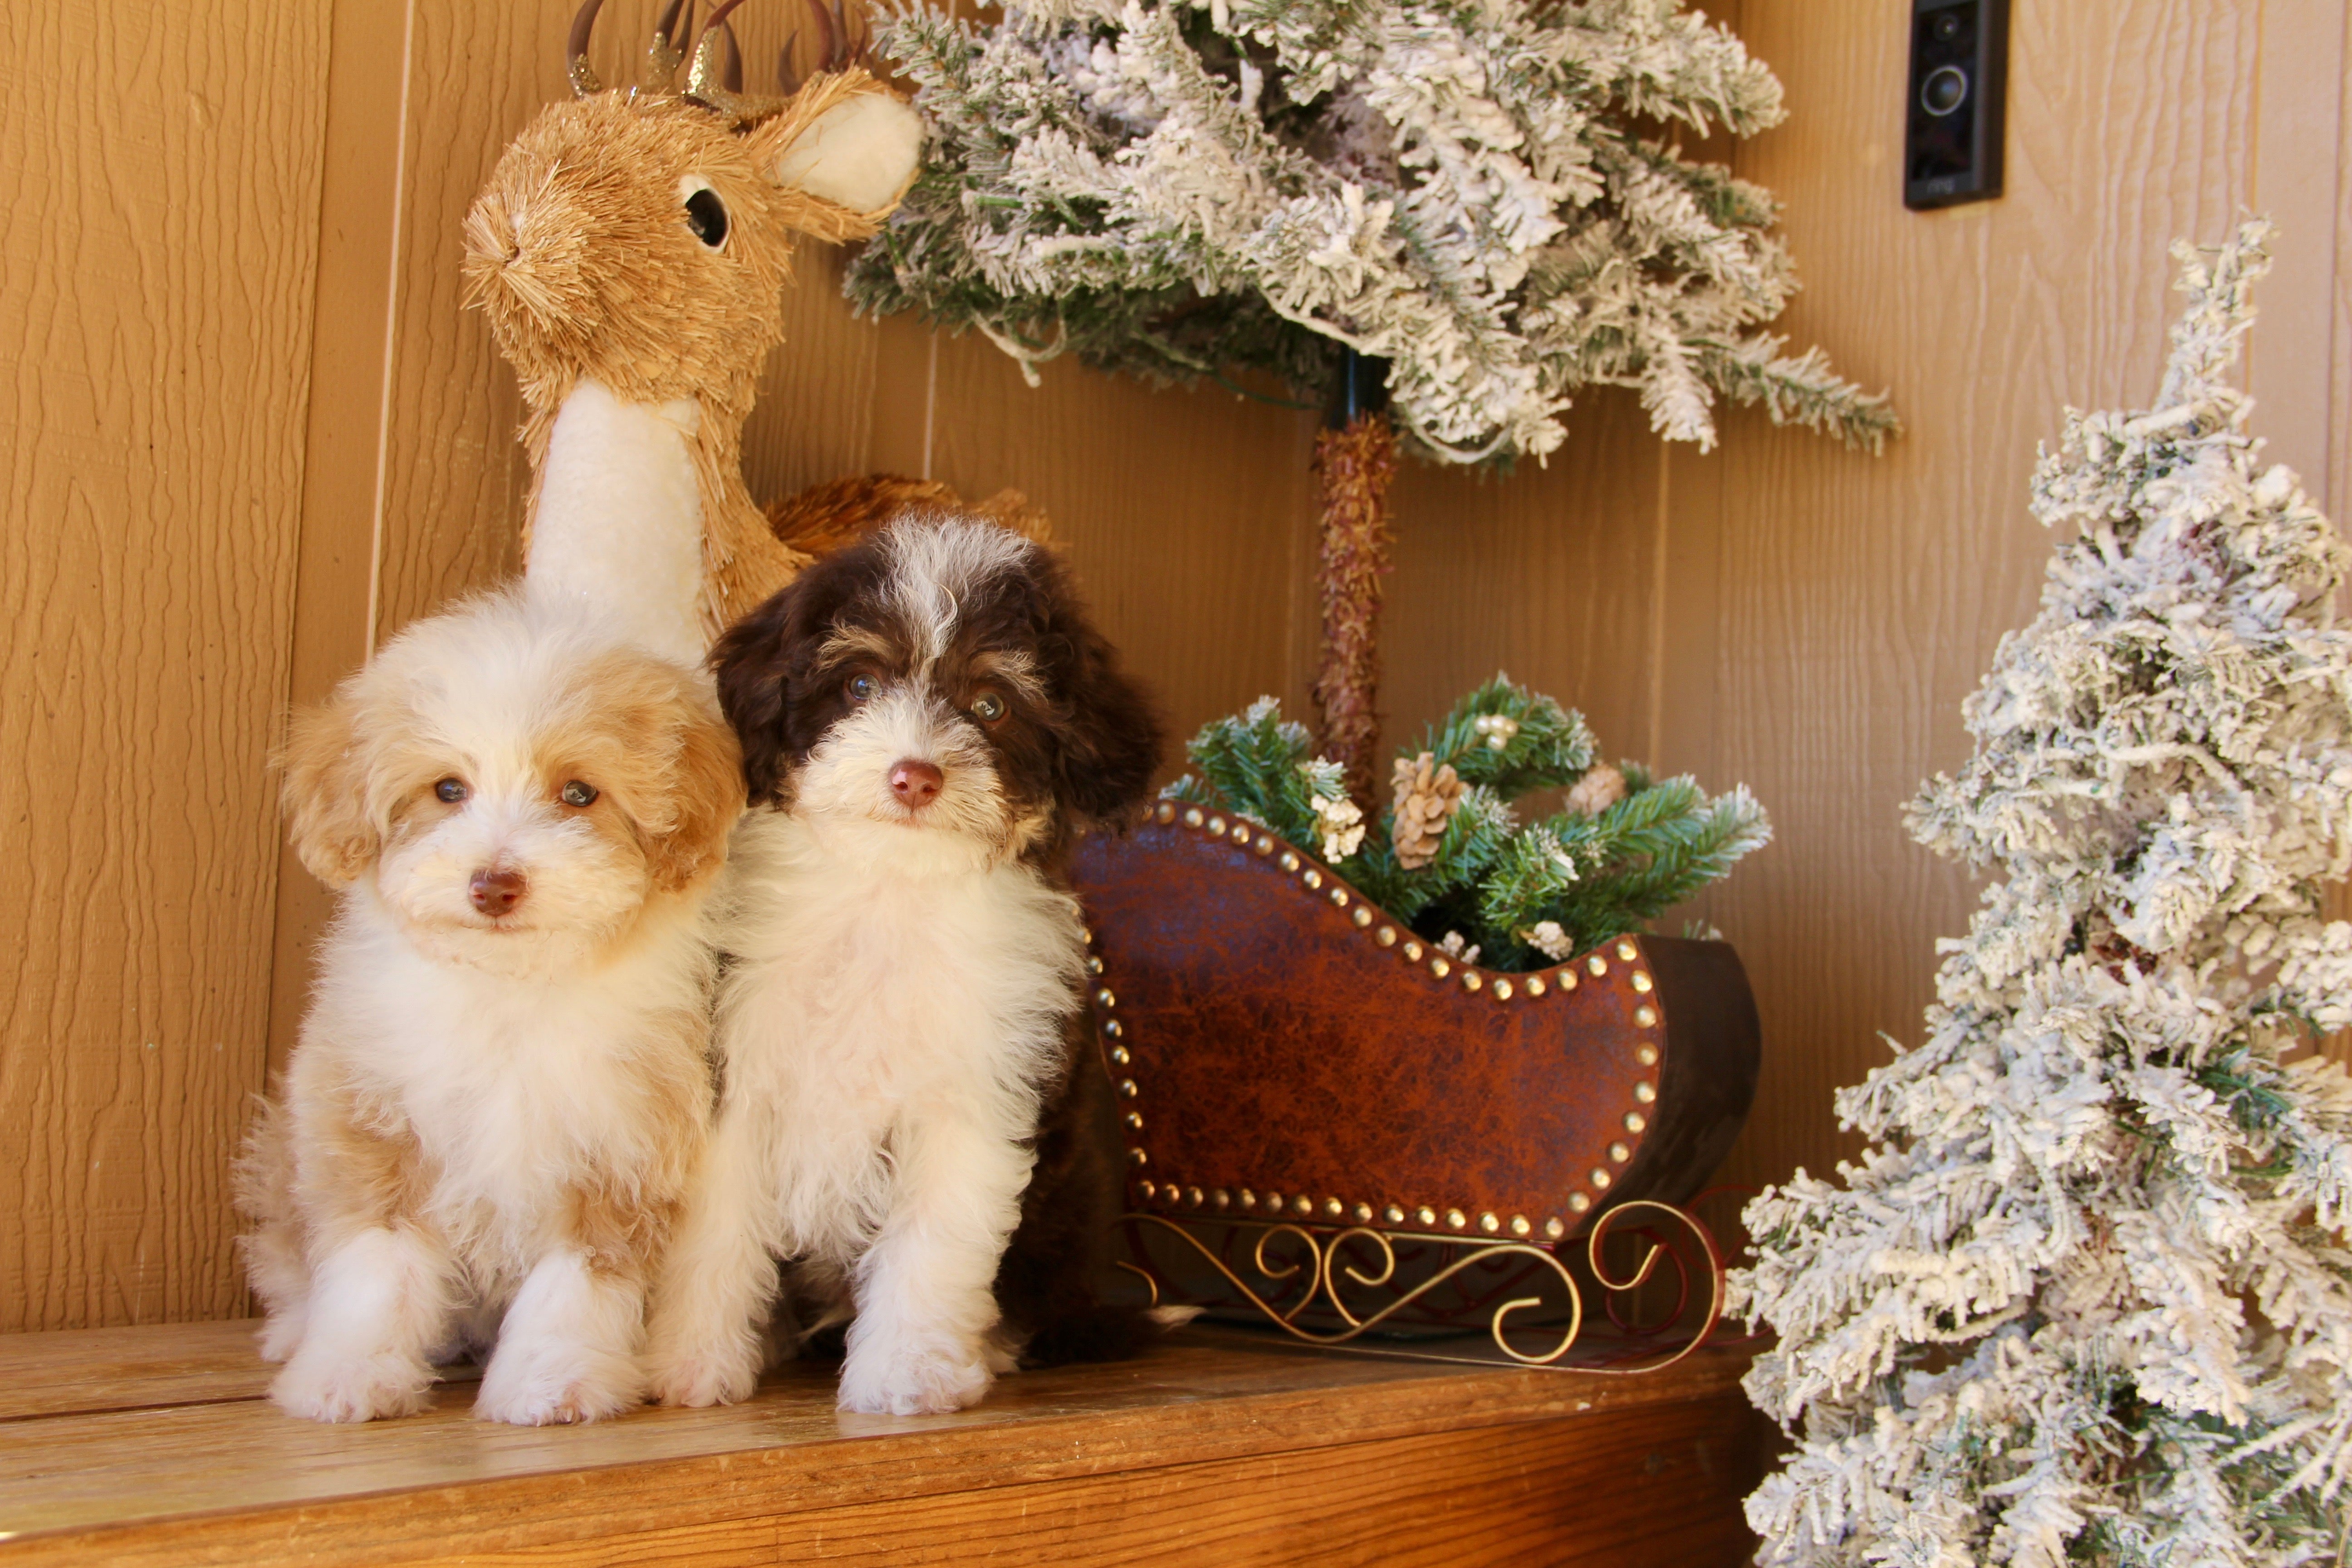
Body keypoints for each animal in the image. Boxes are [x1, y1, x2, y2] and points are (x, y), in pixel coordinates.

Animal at [237, 588, 734, 1420]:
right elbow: (376, 1262)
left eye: (578, 793)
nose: (493, 883)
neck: (511, 990)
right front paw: (350, 1372)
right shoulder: (373, 1114)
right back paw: (294, 1332)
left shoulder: (621, 1139)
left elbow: (579, 1280)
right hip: (286, 1151)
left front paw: (551, 1381)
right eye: (448, 790)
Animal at [644, 510, 1166, 1420]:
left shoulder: (976, 1092)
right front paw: (693, 1364)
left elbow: (935, 1235)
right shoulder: (739, 1073)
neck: (889, 893)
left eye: (990, 705)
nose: (913, 776)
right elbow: (715, 1228)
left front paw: (907, 1374)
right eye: (859, 685)